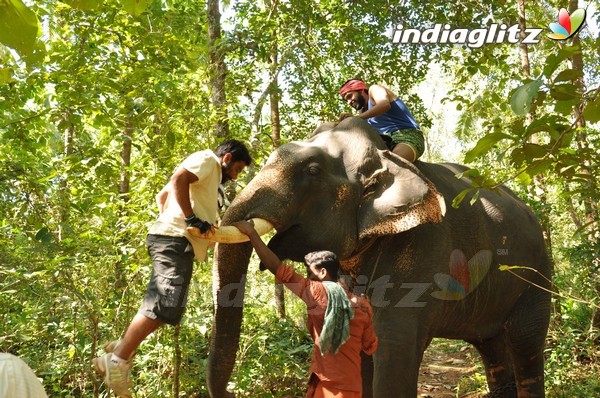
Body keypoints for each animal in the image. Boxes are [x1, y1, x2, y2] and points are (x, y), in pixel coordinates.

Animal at [204, 118, 552, 398]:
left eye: (312, 171)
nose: (231, 392)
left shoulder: (423, 252)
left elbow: (393, 350)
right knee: (491, 346)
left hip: (537, 274)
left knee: (526, 343)